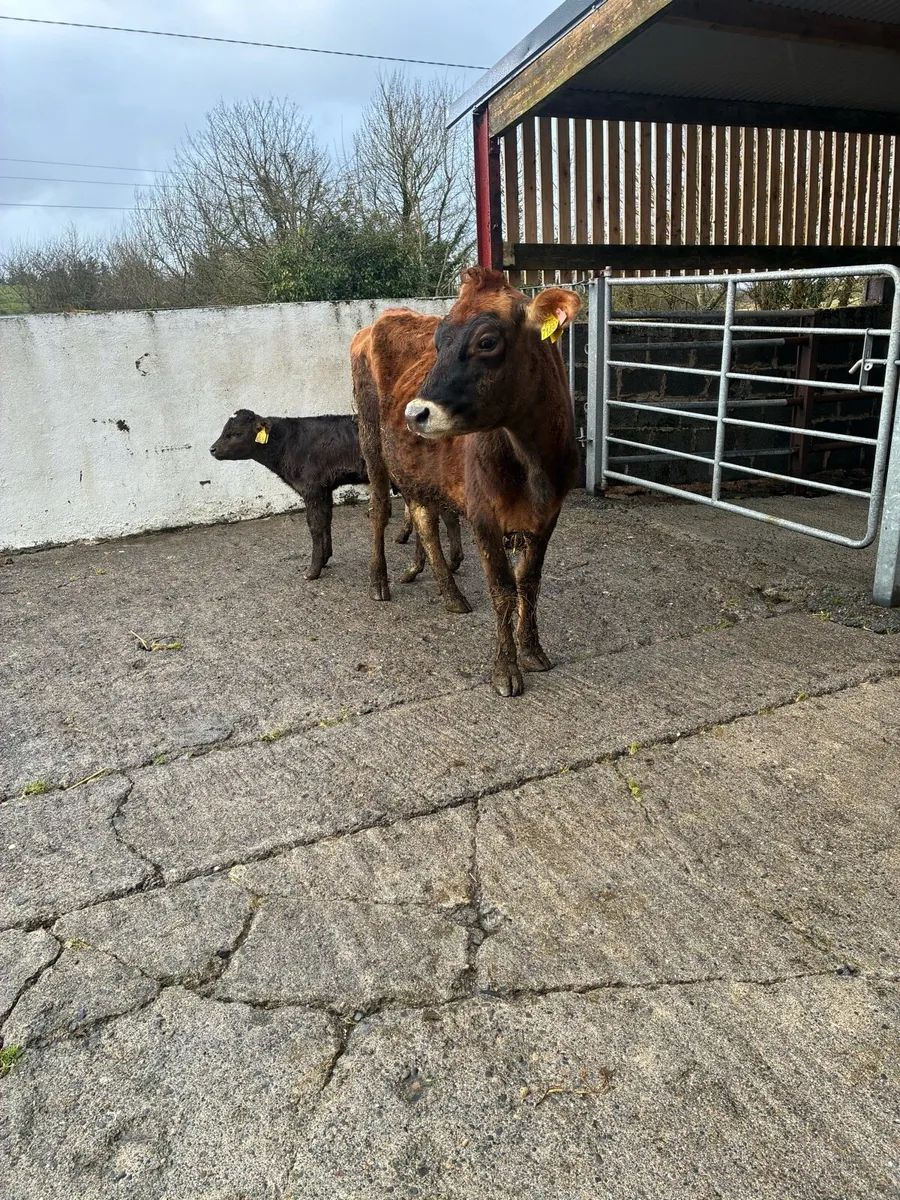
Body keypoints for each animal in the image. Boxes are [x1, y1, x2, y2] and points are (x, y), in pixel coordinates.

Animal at [210, 408, 463, 582]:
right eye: (224, 430)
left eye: (235, 433)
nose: (212, 449)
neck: (287, 444)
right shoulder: (324, 488)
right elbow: (326, 521)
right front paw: (325, 558)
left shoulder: (312, 488)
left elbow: (315, 525)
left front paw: (312, 571)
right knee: (447, 515)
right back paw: (452, 563)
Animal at [351, 267, 580, 697]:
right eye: (438, 342)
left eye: (487, 341)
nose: (415, 413)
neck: (532, 462)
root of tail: (381, 319)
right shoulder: (484, 515)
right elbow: (503, 589)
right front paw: (505, 669)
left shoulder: (549, 515)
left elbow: (529, 583)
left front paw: (532, 650)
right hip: (370, 438)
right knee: (380, 509)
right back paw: (379, 581)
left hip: (415, 468)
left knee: (424, 519)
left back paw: (448, 592)